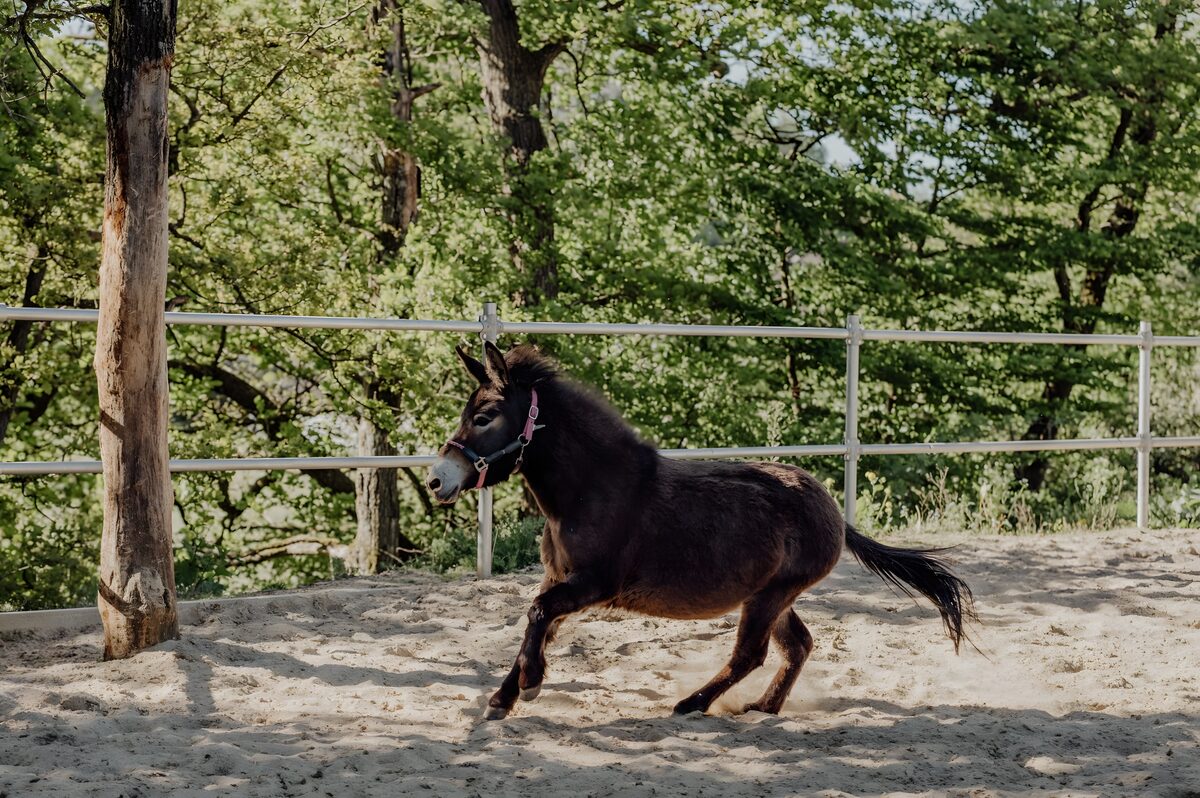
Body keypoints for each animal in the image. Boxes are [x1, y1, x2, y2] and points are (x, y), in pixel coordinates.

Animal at [426, 342, 976, 720]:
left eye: (484, 416)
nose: (437, 480)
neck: (592, 490)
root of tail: (833, 510)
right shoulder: (558, 578)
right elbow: (533, 625)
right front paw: (504, 697)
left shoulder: (593, 585)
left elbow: (538, 616)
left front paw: (530, 685)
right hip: (773, 596)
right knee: (798, 645)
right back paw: (762, 709)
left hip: (770, 597)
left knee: (751, 654)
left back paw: (693, 704)